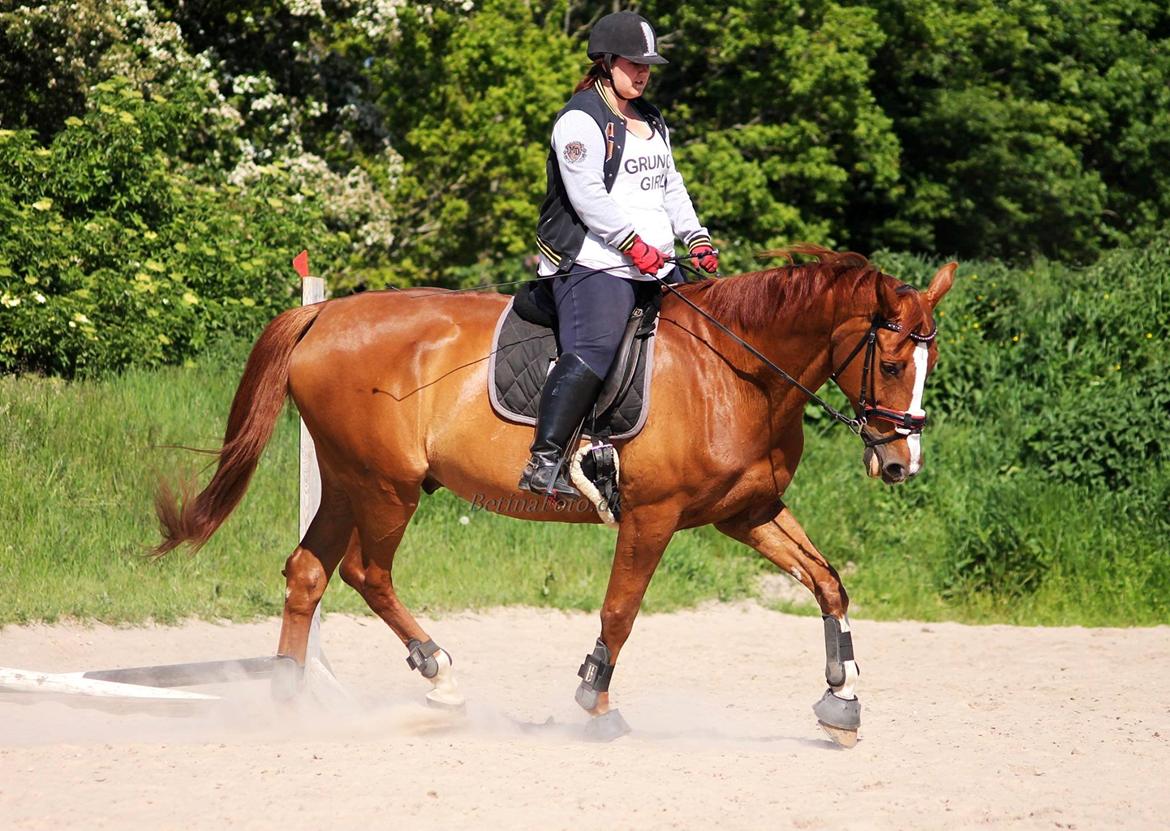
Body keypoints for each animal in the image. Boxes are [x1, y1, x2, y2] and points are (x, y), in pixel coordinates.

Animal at [155, 246, 954, 749]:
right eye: (890, 362)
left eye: (930, 360)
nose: (900, 463)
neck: (734, 371)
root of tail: (322, 316)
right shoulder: (654, 516)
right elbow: (621, 611)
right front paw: (595, 702)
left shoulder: (745, 513)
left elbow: (828, 581)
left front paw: (842, 702)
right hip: (388, 485)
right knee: (365, 572)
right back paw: (441, 677)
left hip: (350, 480)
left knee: (308, 574)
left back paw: (291, 704)